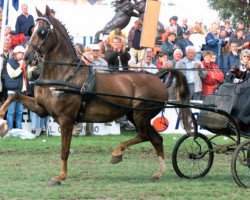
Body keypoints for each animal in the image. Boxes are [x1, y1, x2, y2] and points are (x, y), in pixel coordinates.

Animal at [0, 5, 191, 184]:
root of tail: (157, 77)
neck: (64, 74)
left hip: (141, 115)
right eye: (30, 30)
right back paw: (158, 172)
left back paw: (118, 153)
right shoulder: (41, 109)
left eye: (42, 31)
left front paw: (61, 176)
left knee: (145, 136)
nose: (27, 57)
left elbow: (64, 149)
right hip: (134, 115)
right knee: (156, 139)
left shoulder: (66, 119)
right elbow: (13, 95)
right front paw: (2, 122)